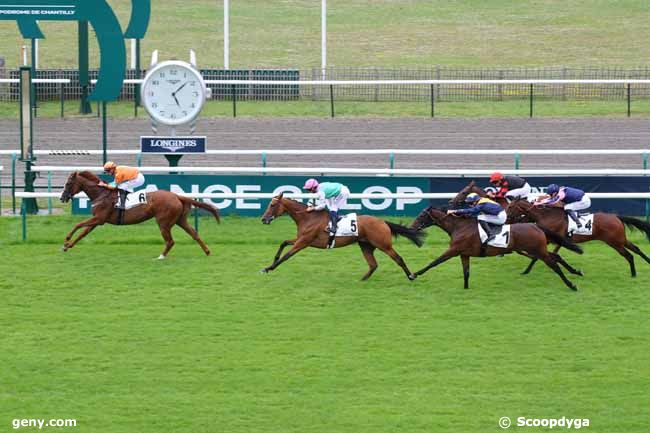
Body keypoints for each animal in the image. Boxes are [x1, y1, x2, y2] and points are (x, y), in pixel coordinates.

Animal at [58, 169, 220, 258]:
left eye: (68, 184)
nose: (62, 197)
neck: (101, 194)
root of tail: (177, 196)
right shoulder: (97, 220)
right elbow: (83, 233)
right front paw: (67, 246)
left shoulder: (99, 218)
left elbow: (78, 225)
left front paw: (66, 240)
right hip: (180, 220)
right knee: (194, 234)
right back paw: (207, 252)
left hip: (163, 222)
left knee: (170, 241)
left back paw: (161, 256)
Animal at [260, 193, 422, 280]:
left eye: (272, 205)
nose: (264, 219)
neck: (308, 217)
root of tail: (383, 221)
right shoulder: (300, 239)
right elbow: (283, 243)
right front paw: (269, 266)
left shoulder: (303, 242)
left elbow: (286, 256)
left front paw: (269, 268)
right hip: (366, 245)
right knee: (373, 264)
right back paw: (362, 280)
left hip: (383, 244)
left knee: (398, 259)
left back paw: (411, 276)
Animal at [408, 206, 580, 290]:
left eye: (422, 216)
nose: (412, 227)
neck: (460, 227)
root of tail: (535, 225)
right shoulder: (464, 254)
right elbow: (466, 272)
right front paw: (466, 288)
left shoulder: (454, 251)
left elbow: (434, 262)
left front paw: (413, 274)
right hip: (537, 249)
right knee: (554, 257)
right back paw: (576, 272)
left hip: (538, 251)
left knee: (554, 265)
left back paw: (571, 285)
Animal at [506, 200, 648, 276]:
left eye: (510, 207)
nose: (507, 220)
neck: (547, 216)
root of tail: (616, 217)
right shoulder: (555, 241)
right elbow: (544, 255)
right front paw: (526, 270)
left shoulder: (552, 240)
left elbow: (539, 255)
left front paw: (526, 270)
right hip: (620, 239)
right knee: (636, 249)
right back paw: (647, 263)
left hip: (615, 242)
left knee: (629, 255)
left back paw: (634, 274)